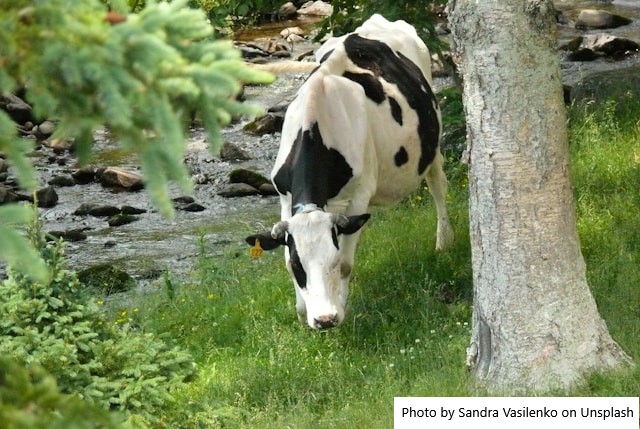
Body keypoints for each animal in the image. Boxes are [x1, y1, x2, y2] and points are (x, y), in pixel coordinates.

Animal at [246, 14, 453, 330]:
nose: (324, 320)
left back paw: (443, 242)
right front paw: (302, 311)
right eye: (298, 265)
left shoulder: (359, 197)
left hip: (432, 144)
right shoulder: (284, 197)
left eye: (331, 260)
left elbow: (347, 262)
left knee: (437, 185)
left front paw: (341, 309)